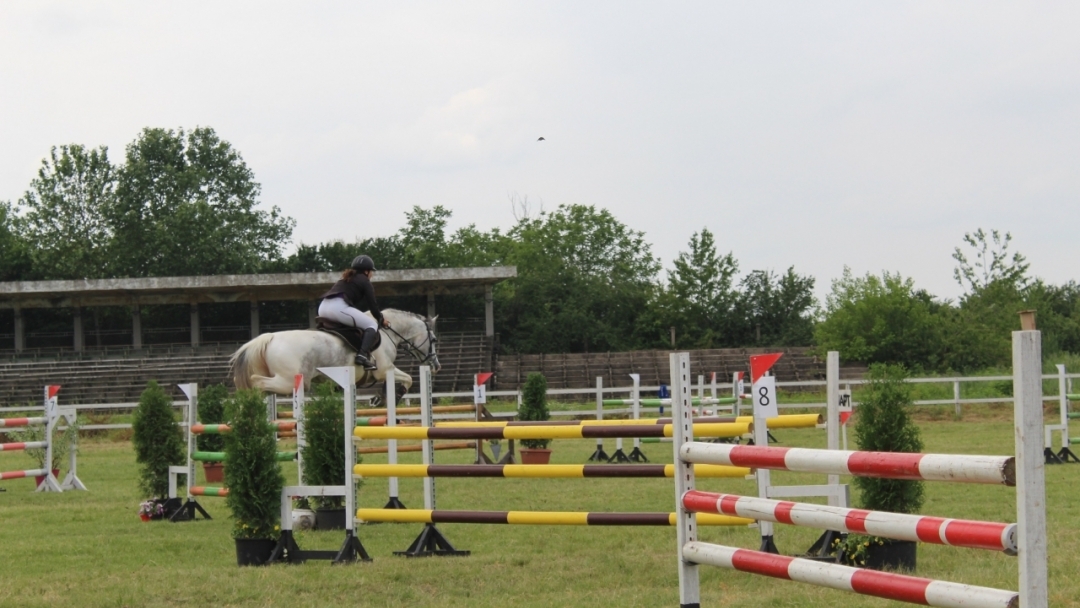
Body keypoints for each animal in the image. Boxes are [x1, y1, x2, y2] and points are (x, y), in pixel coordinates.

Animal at [231, 308, 438, 395]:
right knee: (256, 382)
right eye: (434, 340)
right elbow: (408, 379)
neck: (388, 332)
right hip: (289, 381)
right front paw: (388, 398)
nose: (436, 366)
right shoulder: (384, 370)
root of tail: (270, 337)